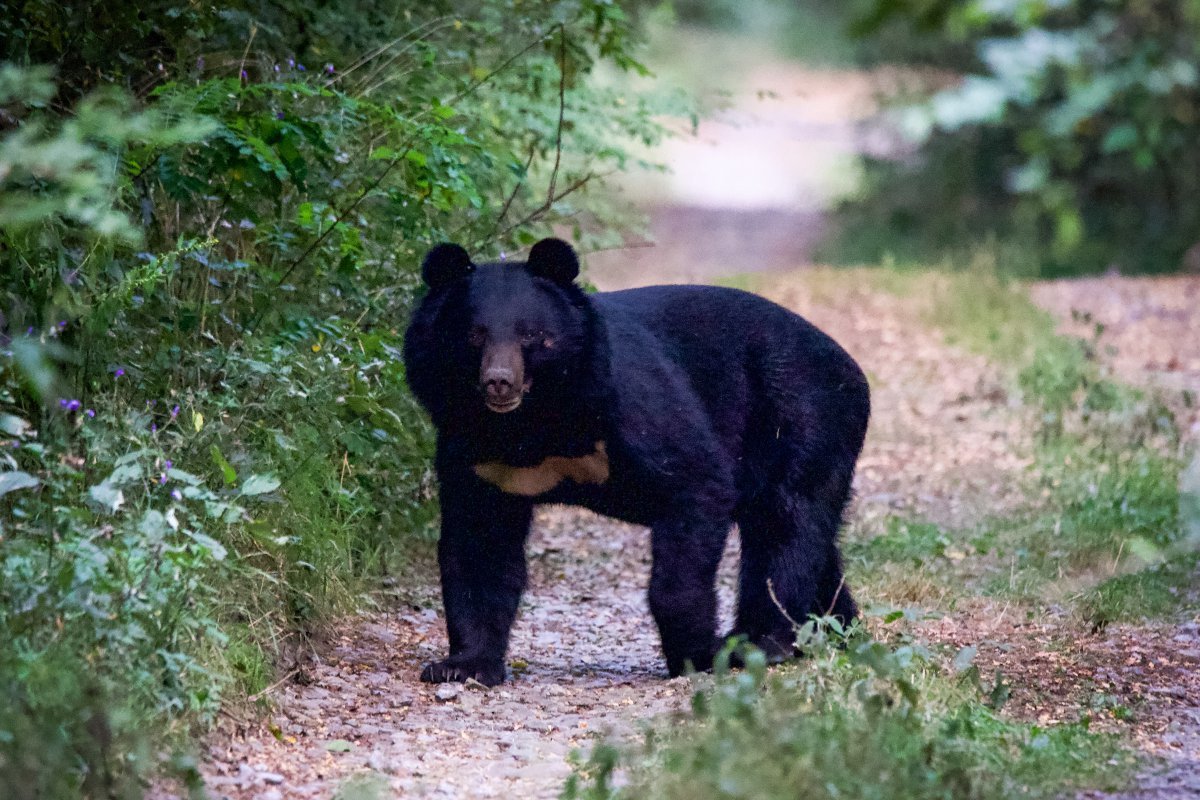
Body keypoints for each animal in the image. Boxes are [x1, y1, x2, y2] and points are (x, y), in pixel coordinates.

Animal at [405, 237, 873, 690]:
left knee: (785, 527)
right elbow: (478, 547)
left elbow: (695, 484)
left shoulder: (631, 407)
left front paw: (696, 653)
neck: (531, 423)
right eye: (474, 335)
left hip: (802, 416)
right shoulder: (477, 456)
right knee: (812, 544)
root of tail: (850, 365)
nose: (499, 382)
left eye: (532, 335)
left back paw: (762, 642)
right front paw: (462, 666)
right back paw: (837, 630)